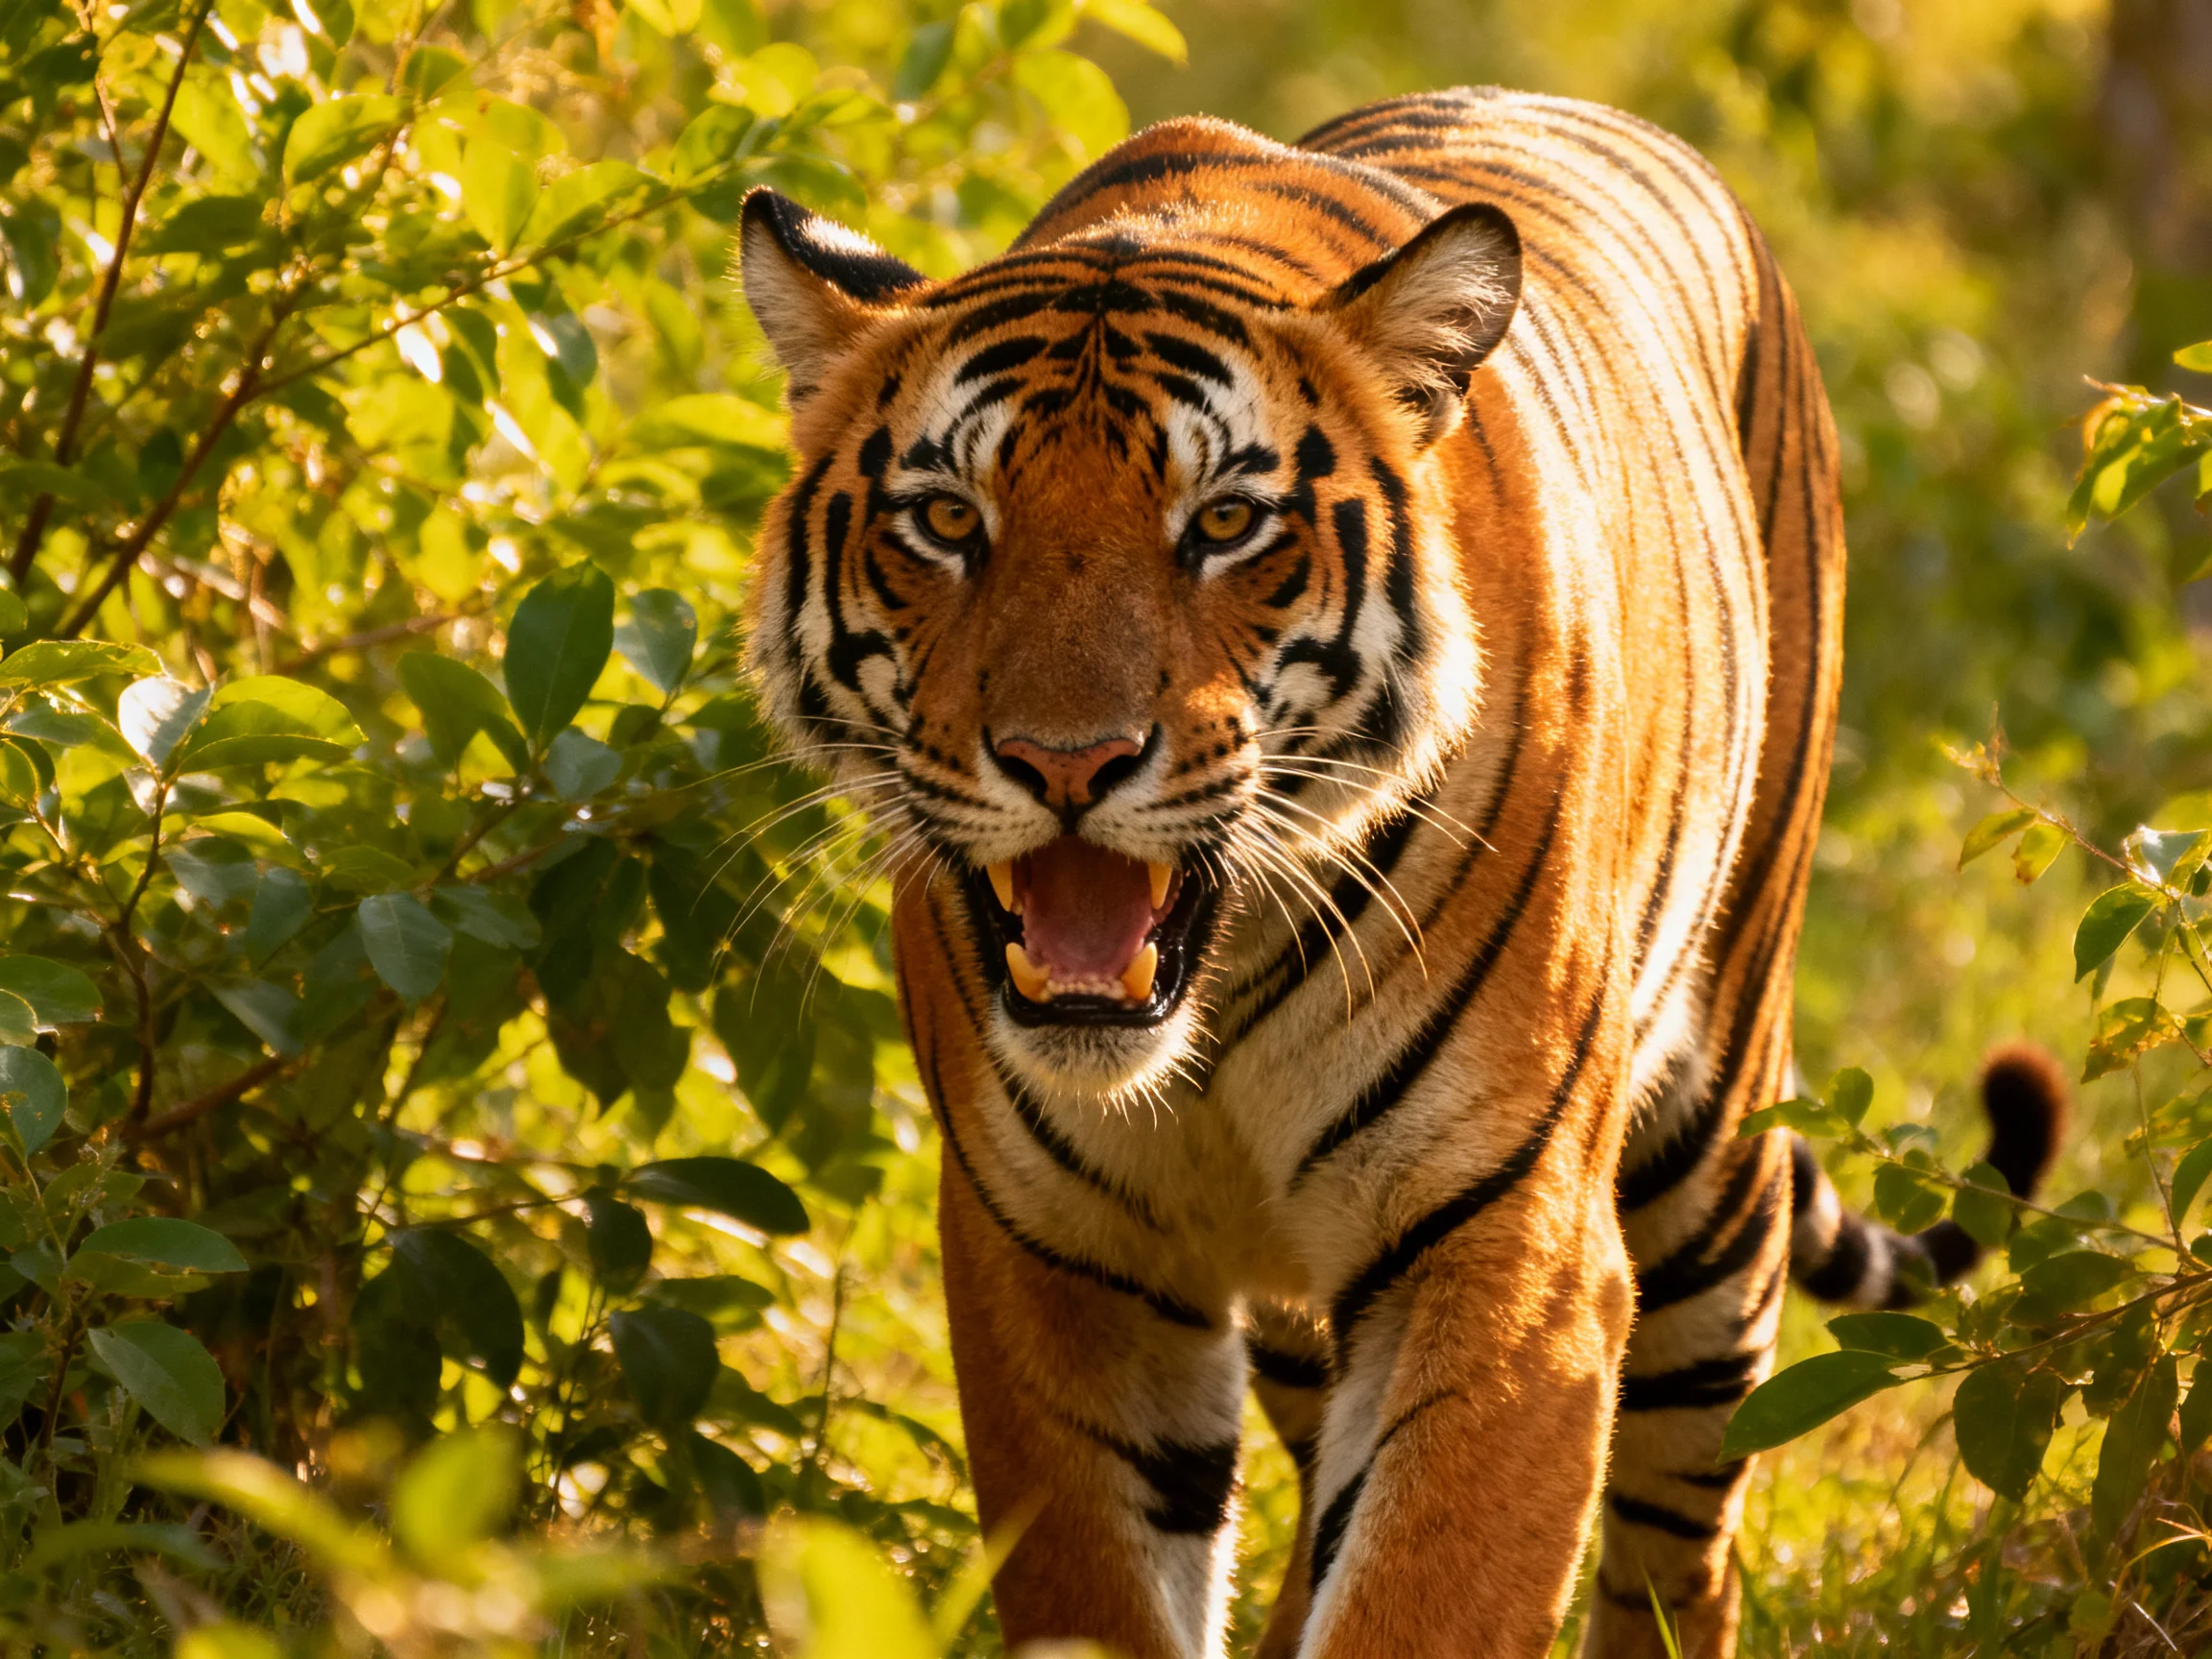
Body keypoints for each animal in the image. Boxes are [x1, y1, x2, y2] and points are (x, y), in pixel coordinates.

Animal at [735, 87, 2068, 1659]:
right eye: (947, 522)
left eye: (1226, 524)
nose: (1068, 763)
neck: (1212, 1010)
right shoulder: (1054, 1256)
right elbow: (1105, 1590)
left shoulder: (1504, 1244)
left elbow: (1431, 1589)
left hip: (1712, 1151)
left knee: (1680, 1546)